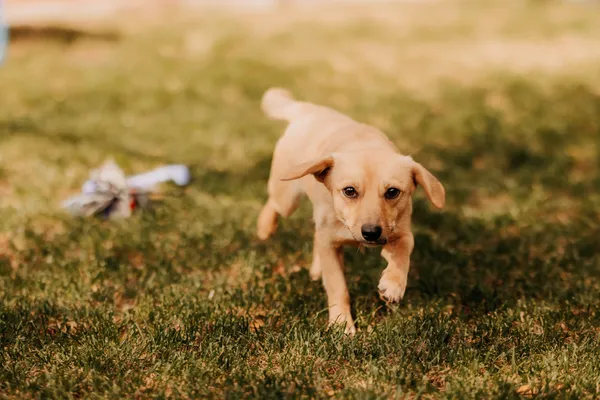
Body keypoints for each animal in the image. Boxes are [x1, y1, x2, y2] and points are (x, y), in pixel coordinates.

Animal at [255, 88, 442, 334]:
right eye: (349, 191)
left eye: (392, 192)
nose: (371, 233)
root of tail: (308, 109)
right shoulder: (330, 242)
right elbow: (338, 286)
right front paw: (341, 323)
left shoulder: (401, 231)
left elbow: (403, 252)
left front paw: (393, 284)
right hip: (287, 197)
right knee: (274, 205)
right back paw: (265, 228)